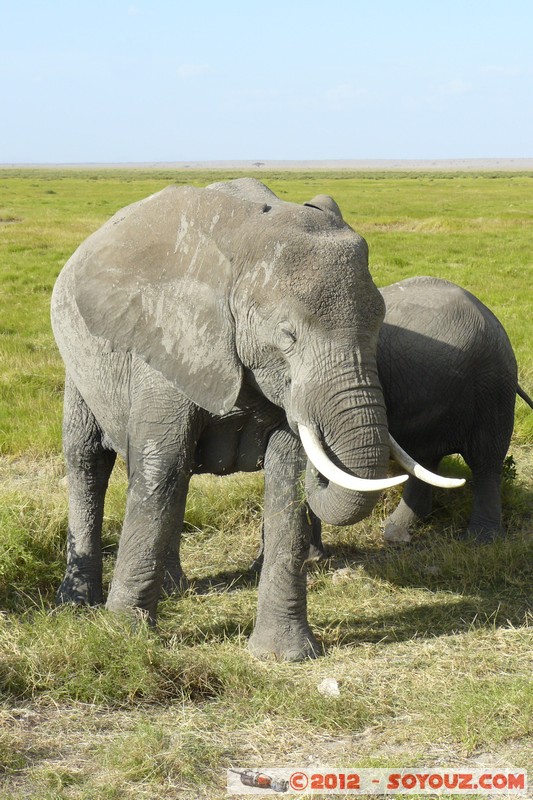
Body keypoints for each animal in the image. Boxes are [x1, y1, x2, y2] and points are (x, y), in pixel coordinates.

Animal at [52, 178, 428, 660]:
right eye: (287, 336)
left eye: (382, 323)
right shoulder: (169, 341)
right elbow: (160, 468)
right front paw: (121, 638)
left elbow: (287, 475)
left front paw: (284, 656)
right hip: (78, 360)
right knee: (89, 461)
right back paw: (77, 605)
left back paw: (173, 589)